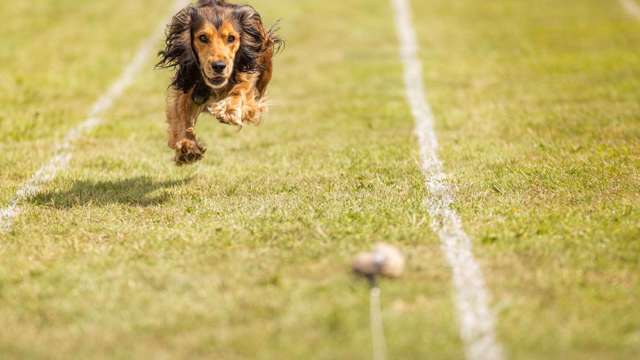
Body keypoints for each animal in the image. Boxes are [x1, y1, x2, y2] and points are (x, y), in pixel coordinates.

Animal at [156, 0, 282, 165]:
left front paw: (229, 109)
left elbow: (242, 90)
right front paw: (187, 147)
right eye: (203, 37)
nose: (219, 66)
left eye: (231, 38)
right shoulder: (187, 83)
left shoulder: (251, 91)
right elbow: (180, 113)